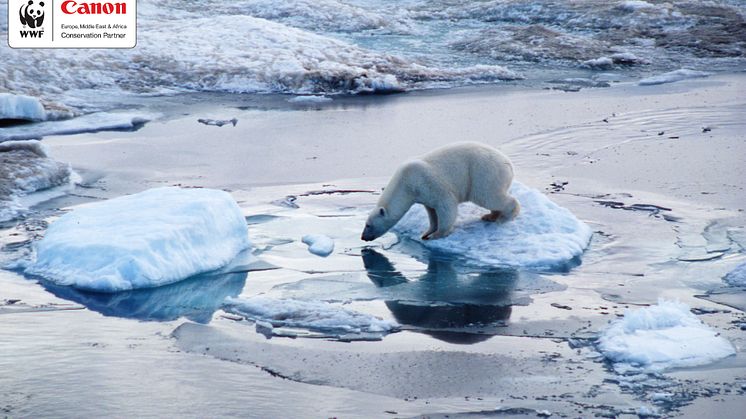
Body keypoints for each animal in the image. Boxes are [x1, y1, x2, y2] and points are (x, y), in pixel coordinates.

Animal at [360, 143, 516, 241]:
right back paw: (490, 216)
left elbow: (446, 205)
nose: (363, 237)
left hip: (484, 173)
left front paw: (438, 235)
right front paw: (426, 233)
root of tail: (508, 163)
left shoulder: (428, 182)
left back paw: (505, 217)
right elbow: (432, 212)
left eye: (368, 225)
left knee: (489, 196)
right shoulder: (423, 194)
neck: (406, 182)